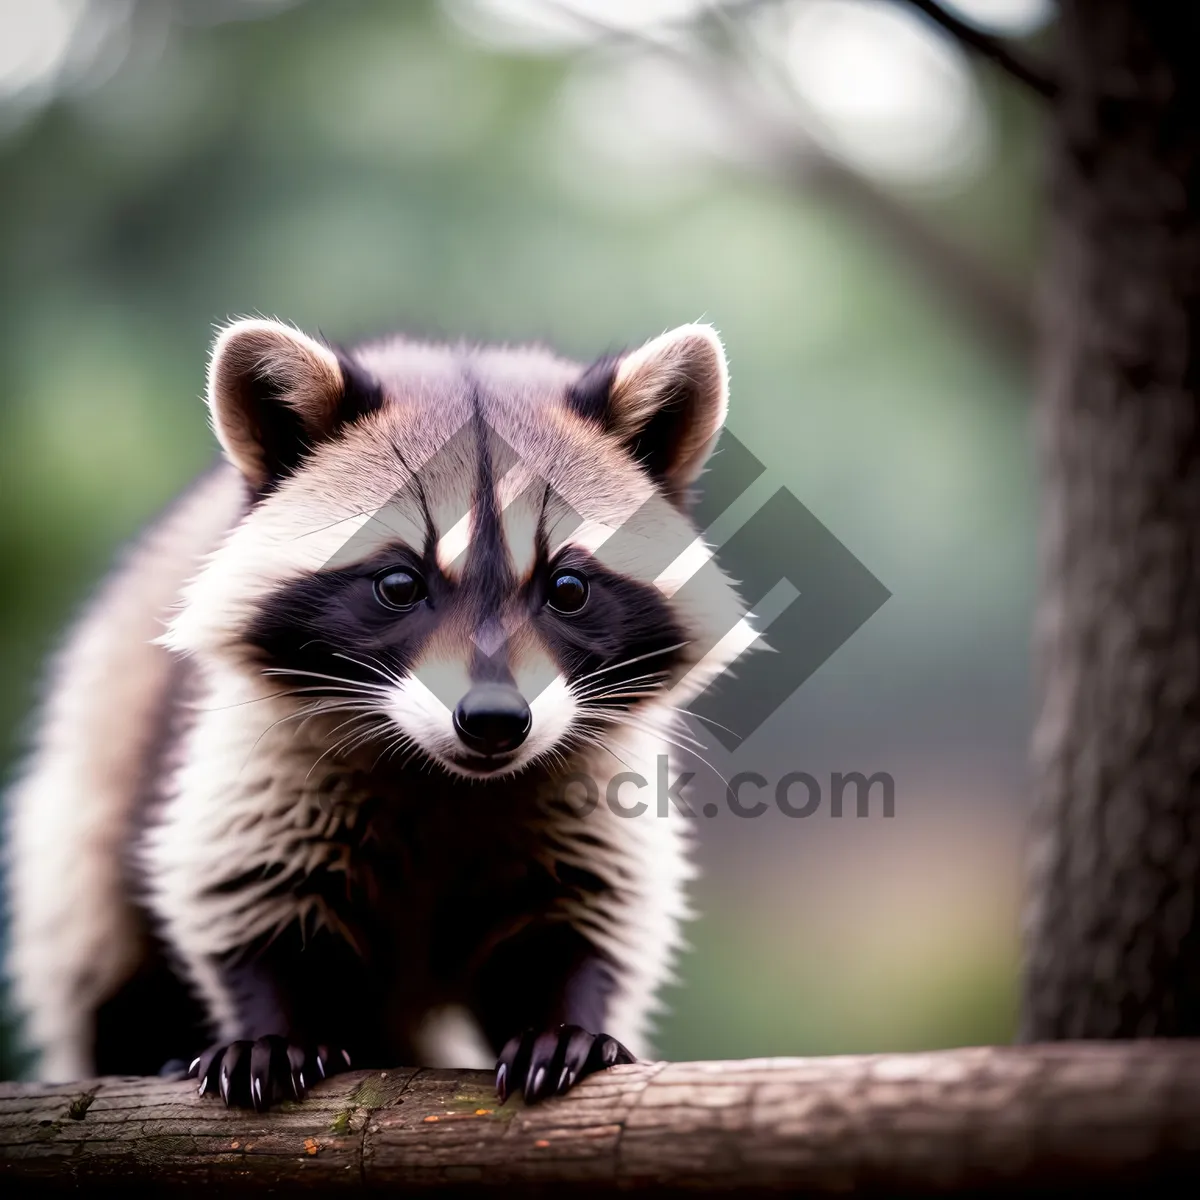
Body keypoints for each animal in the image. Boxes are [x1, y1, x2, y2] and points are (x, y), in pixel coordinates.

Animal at [4, 316, 744, 1104]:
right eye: (398, 584)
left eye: (568, 588)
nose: (492, 719)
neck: (448, 776)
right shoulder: (254, 753)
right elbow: (239, 885)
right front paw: (278, 1025)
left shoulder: (598, 785)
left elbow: (589, 906)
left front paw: (564, 1017)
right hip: (87, 801)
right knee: (98, 951)